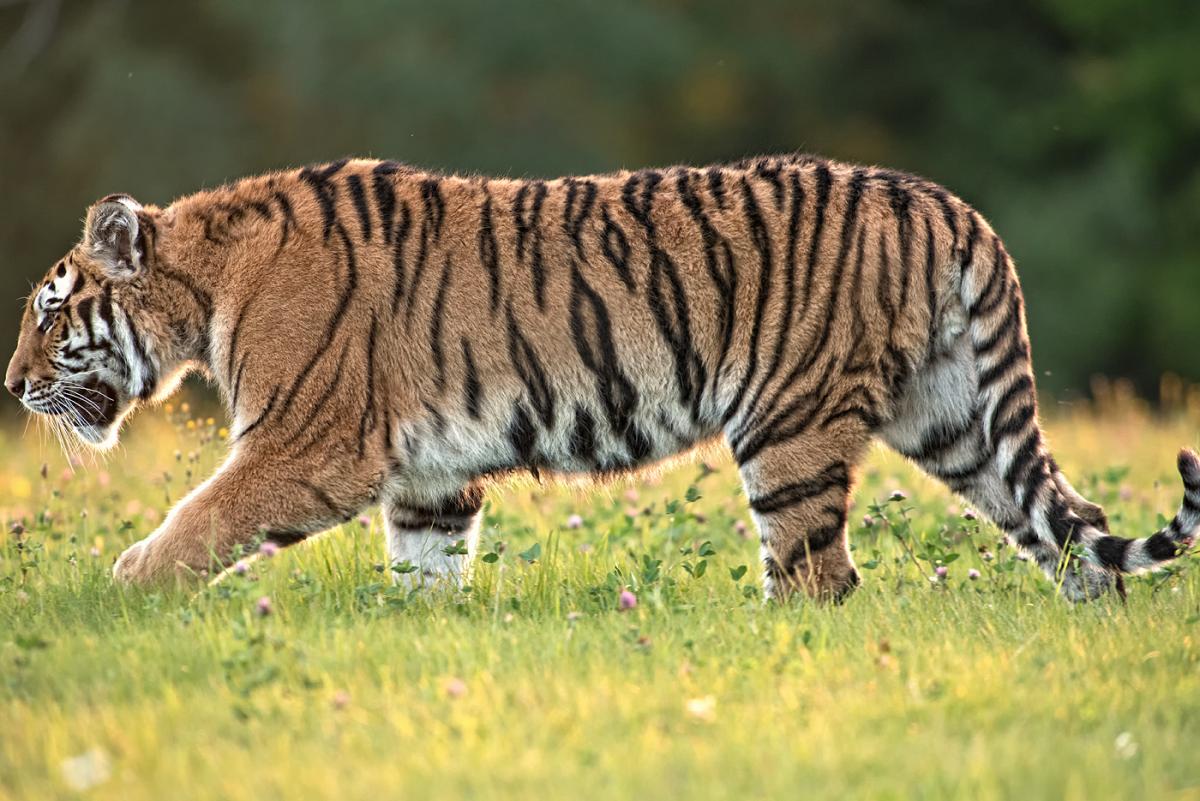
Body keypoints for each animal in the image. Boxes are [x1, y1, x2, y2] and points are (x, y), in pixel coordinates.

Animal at [5, 154, 1198, 602]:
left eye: (50, 312)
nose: (11, 386)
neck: (205, 287)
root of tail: (946, 203)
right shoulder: (428, 476)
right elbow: (426, 572)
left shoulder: (310, 443)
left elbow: (200, 520)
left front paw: (112, 594)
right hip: (954, 417)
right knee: (1075, 526)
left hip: (790, 424)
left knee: (819, 575)